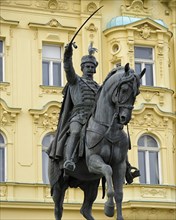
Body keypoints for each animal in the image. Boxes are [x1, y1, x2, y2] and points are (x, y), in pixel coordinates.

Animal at [47, 62, 145, 219]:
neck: (109, 129)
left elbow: (119, 194)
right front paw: (109, 208)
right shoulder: (93, 160)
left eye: (137, 93)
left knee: (85, 209)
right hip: (58, 185)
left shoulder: (119, 165)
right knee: (58, 209)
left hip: (90, 183)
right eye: (124, 89)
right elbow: (108, 170)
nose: (124, 118)